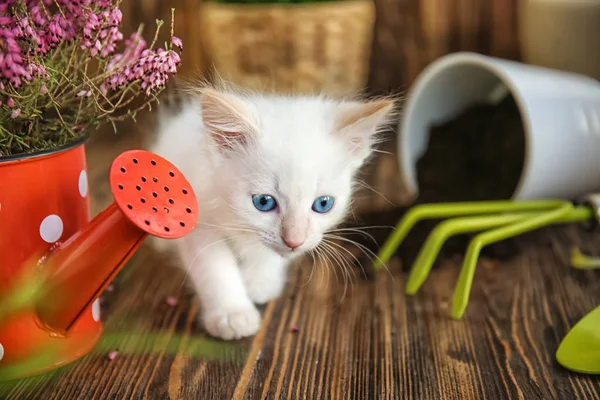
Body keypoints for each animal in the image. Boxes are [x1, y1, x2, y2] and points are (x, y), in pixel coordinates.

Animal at [149, 84, 394, 340]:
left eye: (323, 204)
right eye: (264, 202)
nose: (294, 240)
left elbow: (269, 255)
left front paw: (260, 282)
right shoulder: (196, 217)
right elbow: (214, 267)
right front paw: (232, 314)